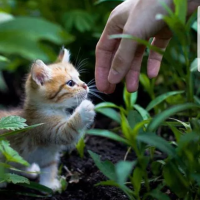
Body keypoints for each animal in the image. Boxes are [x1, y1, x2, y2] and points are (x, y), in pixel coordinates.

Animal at [0, 48, 95, 191]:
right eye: (70, 83)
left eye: (79, 77)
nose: (85, 85)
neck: (51, 109)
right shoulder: (49, 129)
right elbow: (69, 130)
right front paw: (85, 109)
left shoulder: (49, 155)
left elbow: (49, 168)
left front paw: (49, 185)